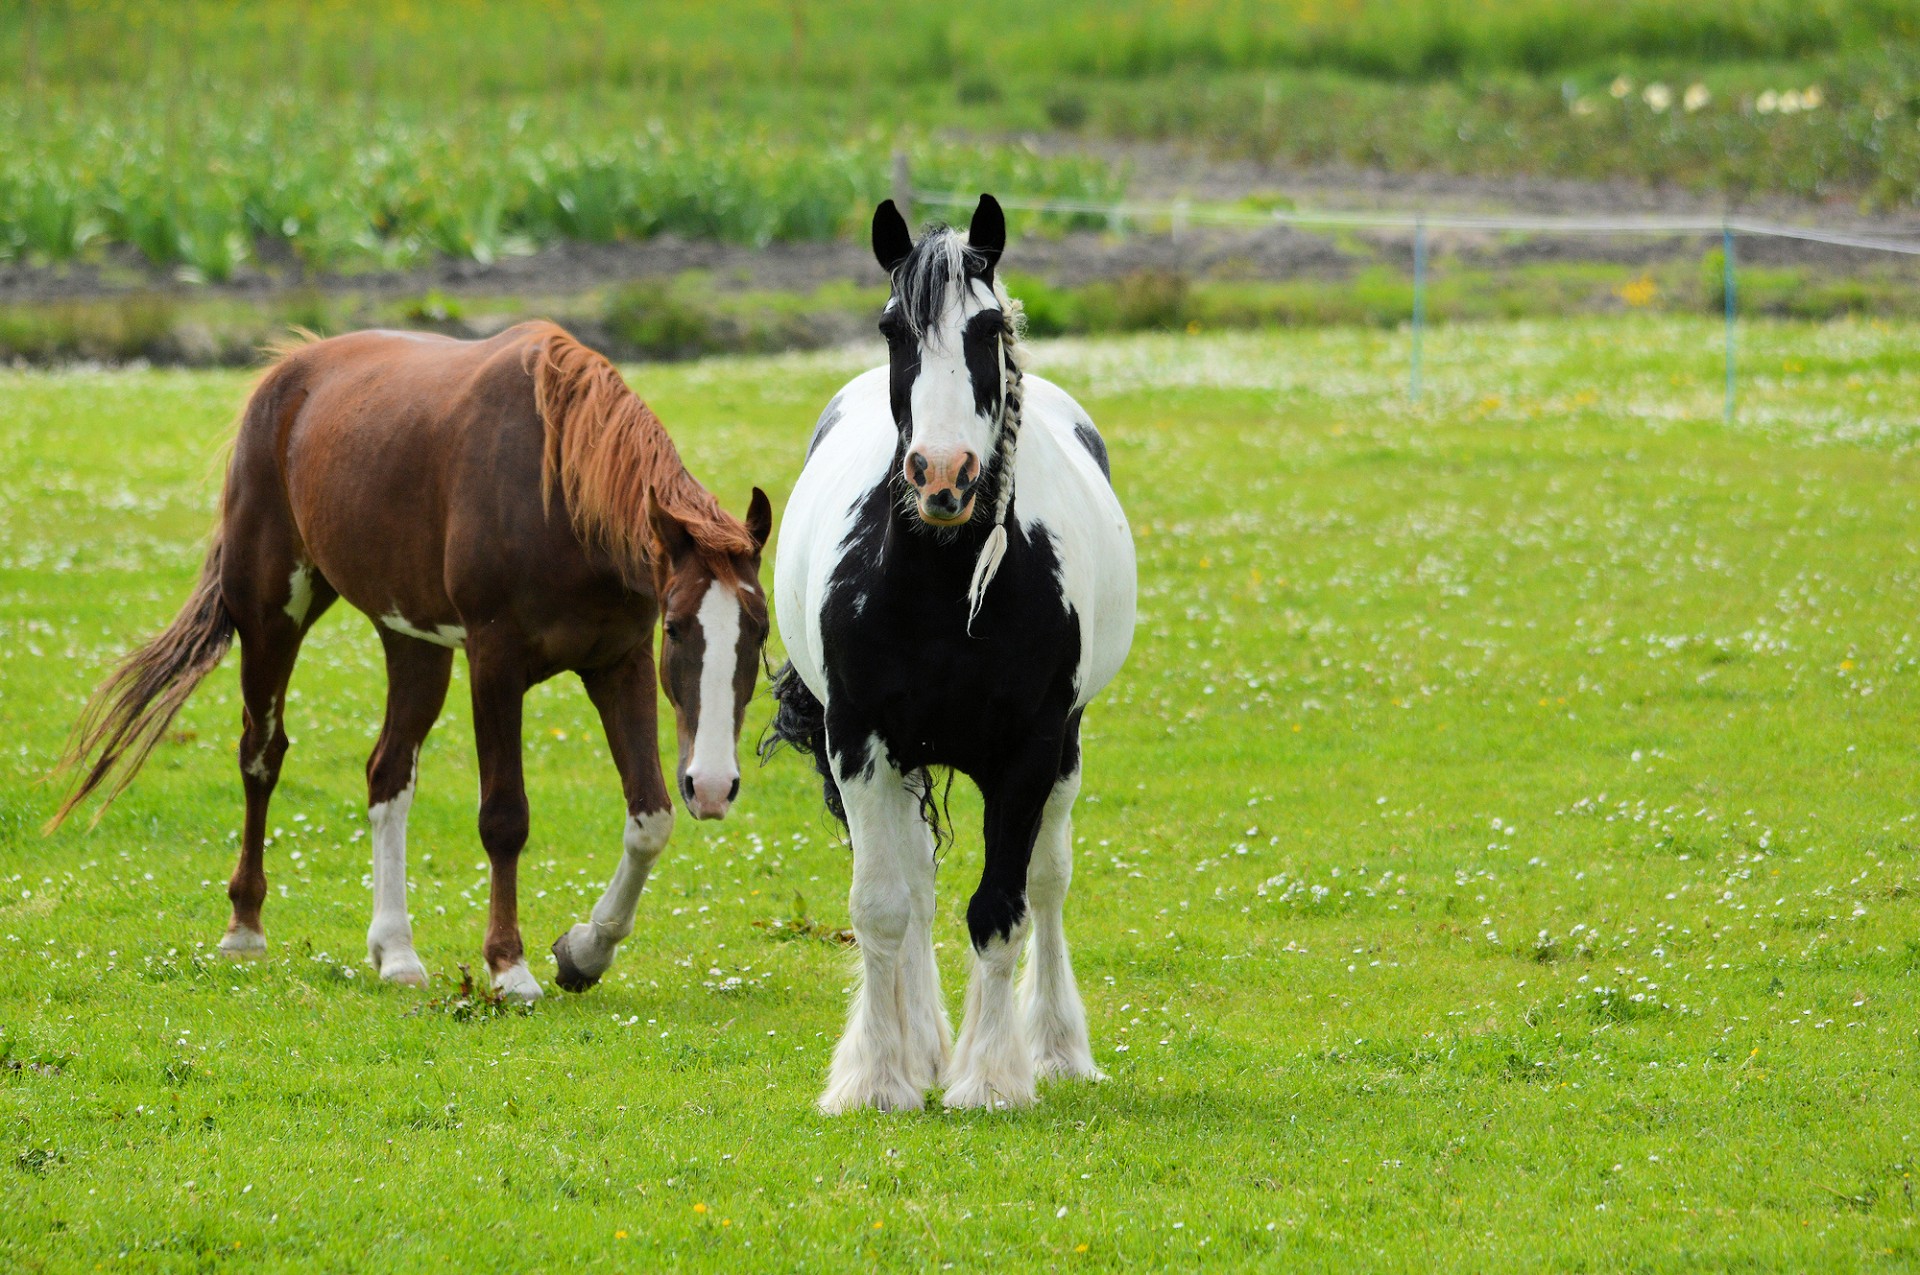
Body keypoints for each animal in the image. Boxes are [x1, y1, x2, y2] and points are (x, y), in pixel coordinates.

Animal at [46, 318, 764, 998]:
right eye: (677, 628)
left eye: (758, 632)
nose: (712, 785)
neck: (556, 495)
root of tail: (288, 369)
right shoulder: (495, 662)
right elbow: (505, 818)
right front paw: (510, 967)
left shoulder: (620, 663)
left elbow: (650, 816)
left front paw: (585, 951)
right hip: (274, 616)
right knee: (262, 754)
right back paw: (244, 929)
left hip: (414, 644)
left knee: (386, 772)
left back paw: (395, 952)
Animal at [764, 193, 1128, 1113]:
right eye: (893, 327)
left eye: (988, 327)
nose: (942, 474)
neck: (943, 587)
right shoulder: (859, 742)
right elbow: (884, 906)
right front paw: (879, 1075)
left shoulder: (1030, 750)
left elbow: (1001, 908)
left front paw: (992, 1076)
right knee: (917, 884)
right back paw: (922, 1043)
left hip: (1064, 753)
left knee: (1048, 880)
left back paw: (1053, 1048)